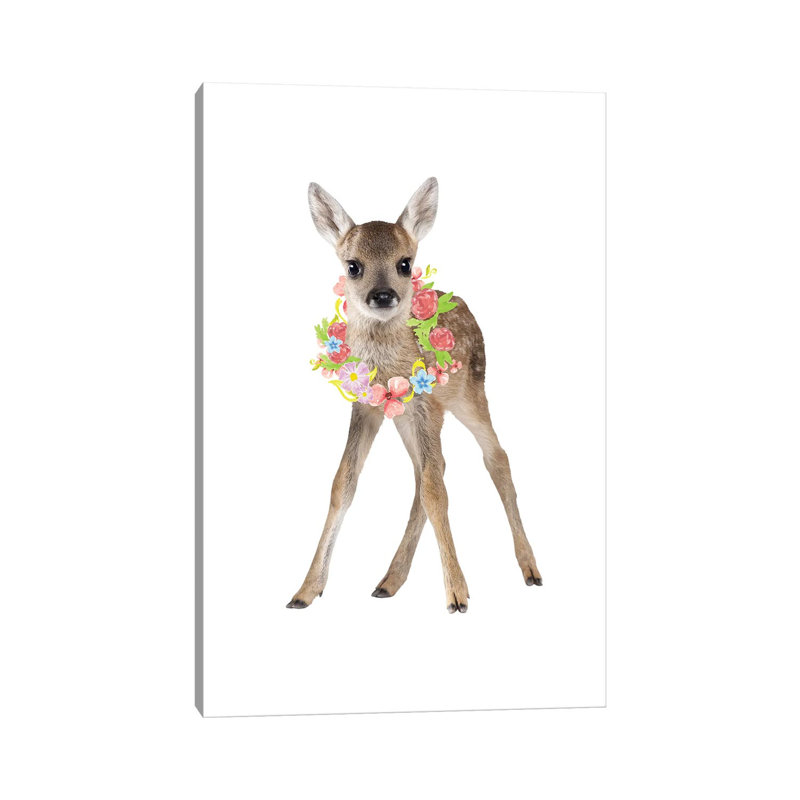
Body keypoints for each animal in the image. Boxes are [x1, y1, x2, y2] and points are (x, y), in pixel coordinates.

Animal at [286, 177, 542, 614]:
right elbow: (343, 484)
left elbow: (436, 492)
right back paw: (389, 581)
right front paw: (305, 590)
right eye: (352, 266)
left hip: (469, 394)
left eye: (405, 263)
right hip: (411, 417)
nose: (383, 295)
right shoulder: (368, 407)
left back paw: (530, 569)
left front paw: (457, 595)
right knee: (428, 474)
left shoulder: (426, 405)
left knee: (494, 458)